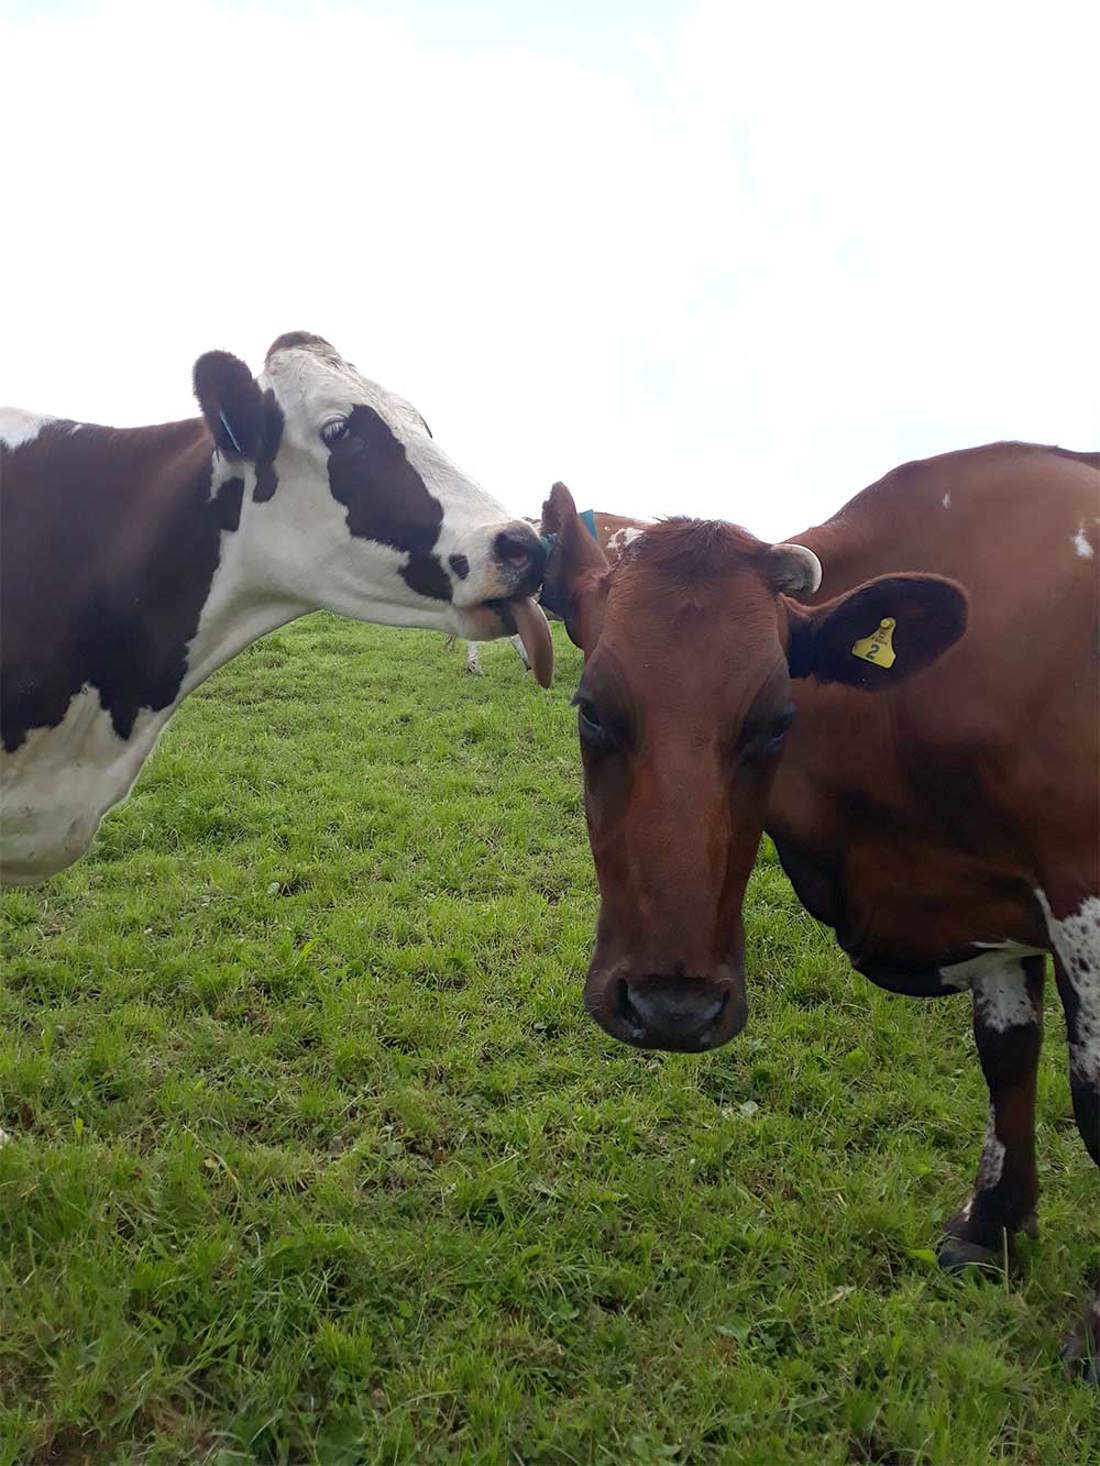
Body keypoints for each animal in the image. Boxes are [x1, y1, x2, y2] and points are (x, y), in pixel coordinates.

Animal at [539, 445, 1100, 1374]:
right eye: (591, 710)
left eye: (777, 721)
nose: (670, 1008)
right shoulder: (997, 901)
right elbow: (1007, 1053)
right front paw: (991, 1227)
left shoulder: (1080, 895)